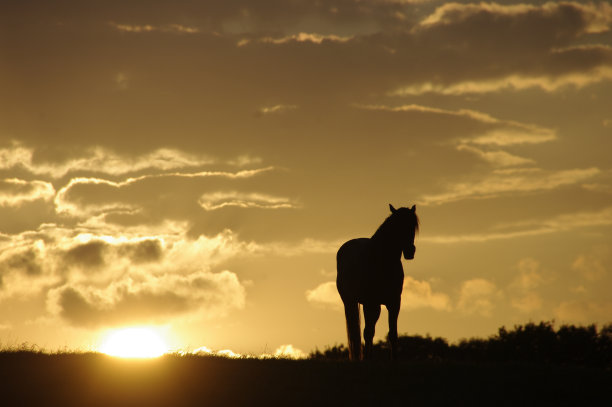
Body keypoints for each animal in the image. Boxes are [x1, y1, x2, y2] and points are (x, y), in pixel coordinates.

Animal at [338, 204, 418, 360]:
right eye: (397, 225)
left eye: (413, 226)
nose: (410, 251)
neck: (382, 262)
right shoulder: (370, 302)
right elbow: (368, 333)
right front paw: (367, 359)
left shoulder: (394, 303)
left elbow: (392, 334)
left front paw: (394, 359)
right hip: (352, 302)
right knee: (362, 333)